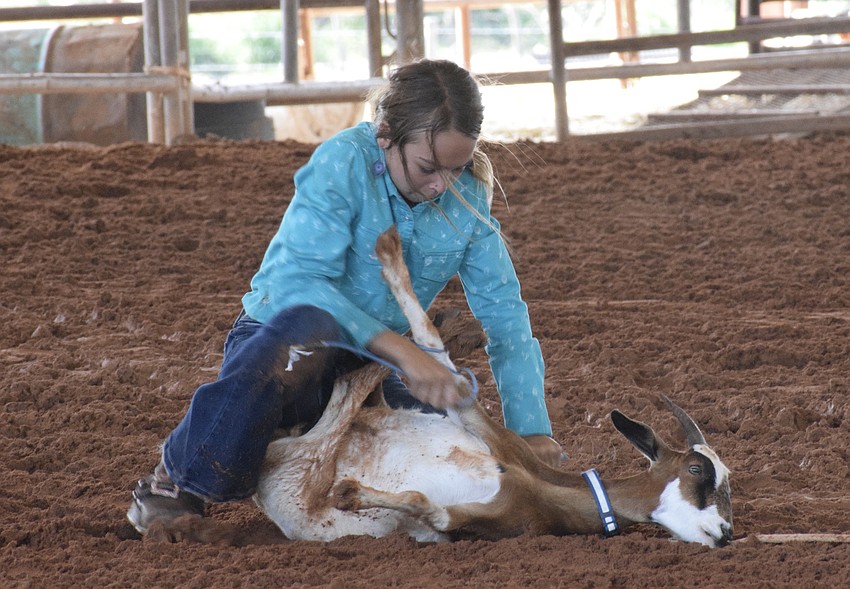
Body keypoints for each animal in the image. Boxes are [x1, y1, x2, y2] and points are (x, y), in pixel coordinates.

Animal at [253, 226, 733, 547]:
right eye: (698, 469)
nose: (727, 532)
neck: (545, 488)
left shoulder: (480, 519)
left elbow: (422, 503)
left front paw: (352, 493)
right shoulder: (488, 430)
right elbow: (436, 352)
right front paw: (392, 257)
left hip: (306, 472)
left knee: (345, 396)